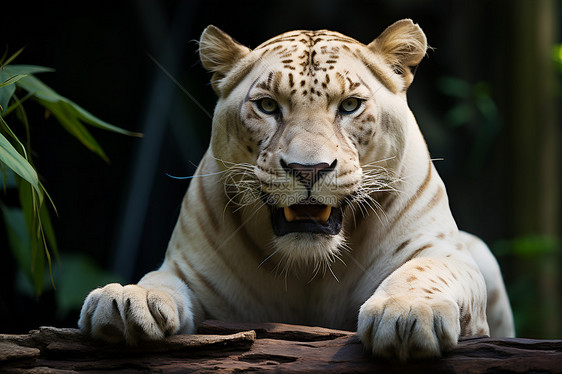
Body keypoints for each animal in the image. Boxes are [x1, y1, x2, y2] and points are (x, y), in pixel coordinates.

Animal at [79, 19, 512, 360]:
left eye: (350, 105)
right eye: (268, 106)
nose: (309, 170)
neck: (307, 271)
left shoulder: (443, 252)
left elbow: (425, 270)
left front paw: (405, 313)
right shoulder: (188, 270)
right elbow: (159, 280)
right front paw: (125, 300)